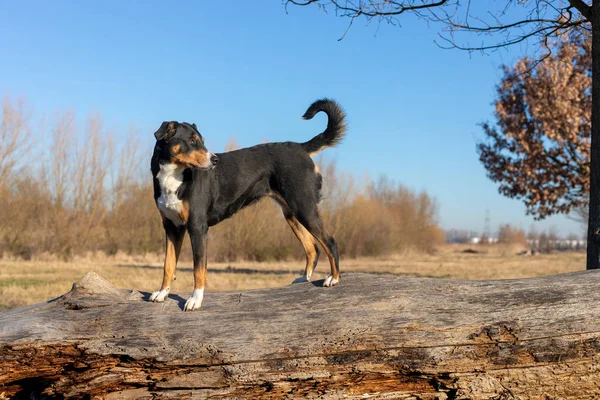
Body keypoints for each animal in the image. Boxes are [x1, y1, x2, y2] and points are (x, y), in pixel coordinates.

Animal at [149, 98, 346, 310]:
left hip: (304, 207)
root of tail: (300, 148)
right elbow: (168, 265)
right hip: (292, 213)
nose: (215, 160)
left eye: (202, 140)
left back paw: (333, 278)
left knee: (330, 242)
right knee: (312, 247)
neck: (173, 177)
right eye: (192, 141)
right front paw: (162, 293)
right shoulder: (172, 228)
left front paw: (195, 299)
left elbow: (198, 269)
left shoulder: (197, 227)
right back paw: (304, 279)